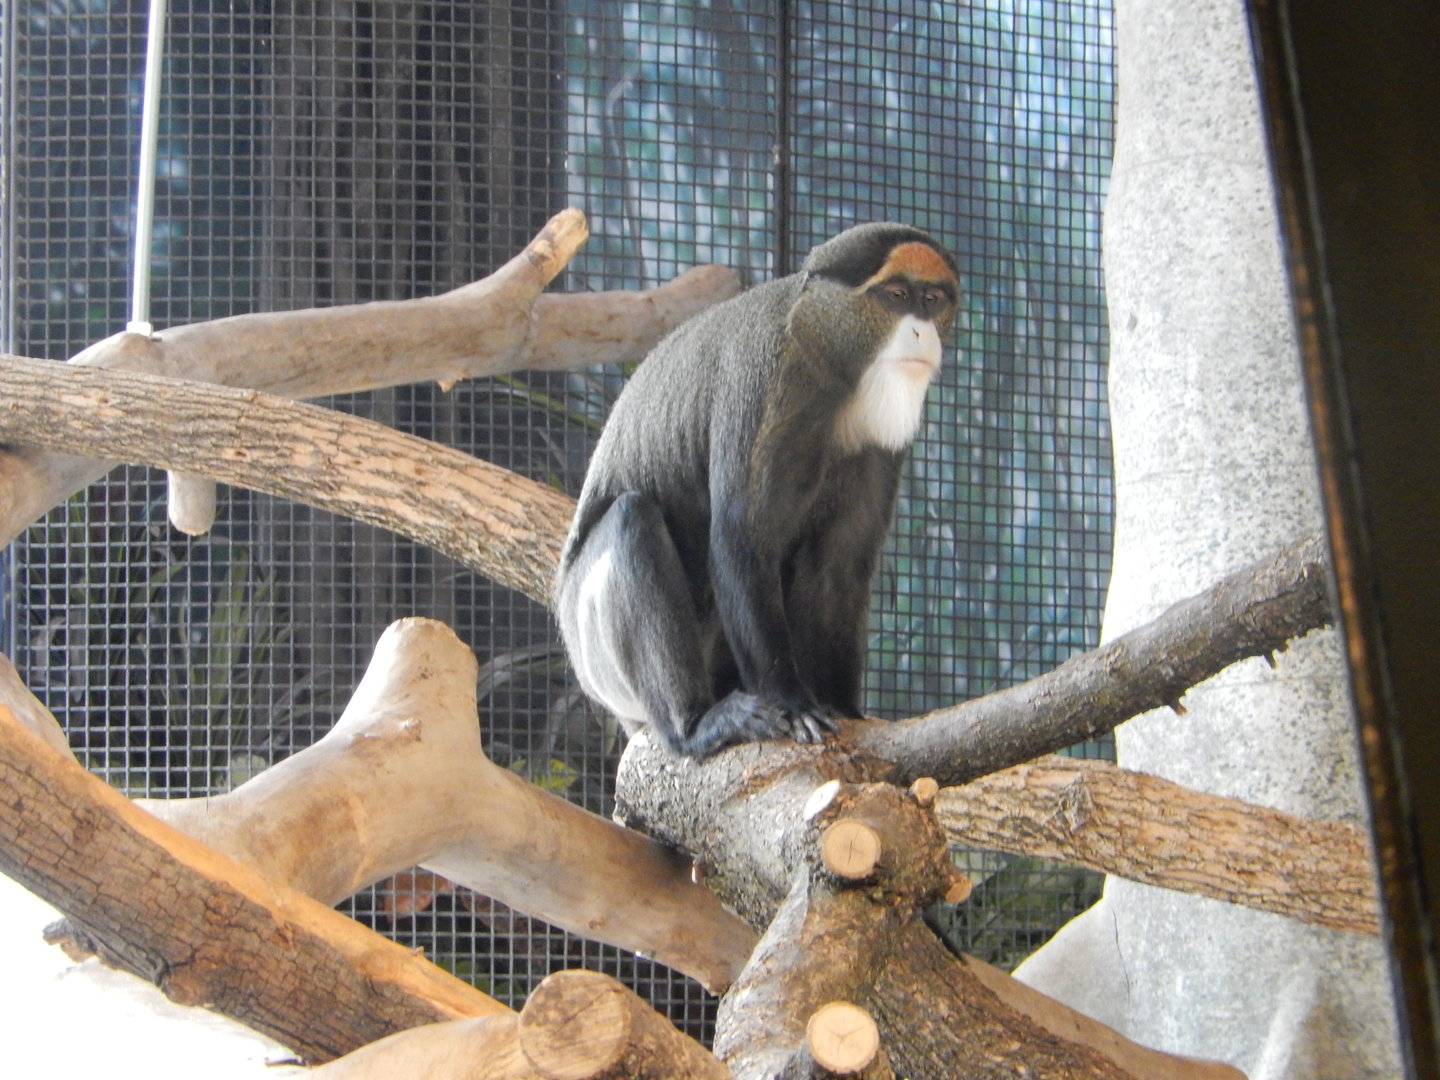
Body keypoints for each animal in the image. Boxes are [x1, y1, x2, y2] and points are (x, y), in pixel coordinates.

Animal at [554, 222, 960, 758]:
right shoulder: (765, 381)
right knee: (631, 519)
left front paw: (845, 708)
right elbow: (740, 538)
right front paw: (793, 703)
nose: (922, 331)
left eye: (932, 300)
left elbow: (839, 567)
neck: (828, 356)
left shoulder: (879, 444)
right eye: (896, 296)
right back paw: (695, 724)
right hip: (598, 660)